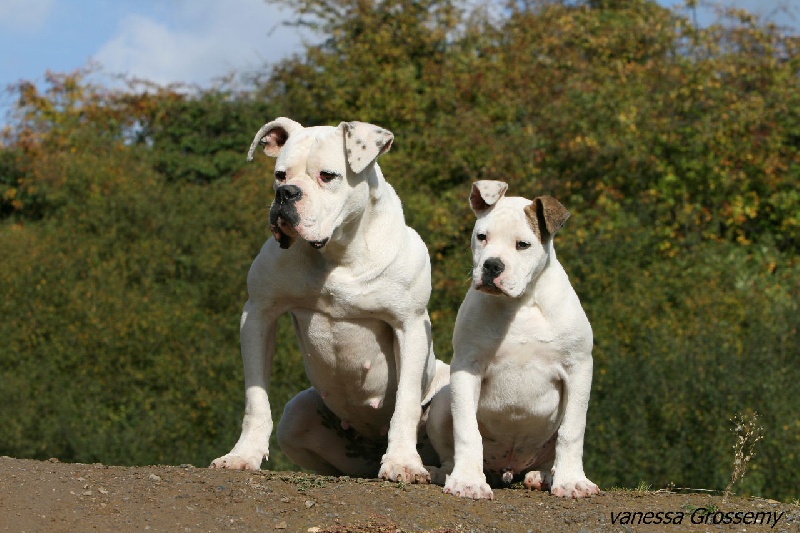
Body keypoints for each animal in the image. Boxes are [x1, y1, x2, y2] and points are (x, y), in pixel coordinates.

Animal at [211, 117, 450, 482]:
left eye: (328, 175)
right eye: (280, 175)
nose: (286, 193)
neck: (337, 252)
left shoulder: (409, 324)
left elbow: (406, 400)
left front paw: (403, 462)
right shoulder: (259, 314)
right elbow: (256, 398)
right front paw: (243, 455)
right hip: (297, 417)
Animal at [428, 182, 596, 498]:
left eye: (523, 245)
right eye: (482, 237)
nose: (492, 266)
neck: (521, 303)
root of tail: (507, 468)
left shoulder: (578, 367)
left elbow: (572, 431)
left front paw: (571, 481)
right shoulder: (467, 367)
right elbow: (466, 430)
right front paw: (468, 481)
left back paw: (544, 476)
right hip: (442, 402)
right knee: (449, 450)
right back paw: (443, 473)